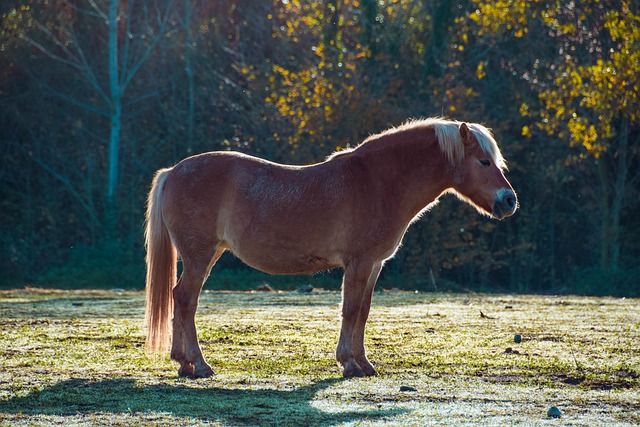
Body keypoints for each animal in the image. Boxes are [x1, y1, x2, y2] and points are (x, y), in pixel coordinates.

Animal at [144, 116, 516, 378]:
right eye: (484, 162)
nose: (509, 201)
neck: (377, 183)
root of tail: (173, 171)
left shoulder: (374, 265)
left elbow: (363, 311)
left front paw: (364, 363)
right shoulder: (358, 263)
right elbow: (349, 310)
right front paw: (348, 364)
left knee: (179, 298)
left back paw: (183, 364)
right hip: (200, 256)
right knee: (186, 299)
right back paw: (198, 364)